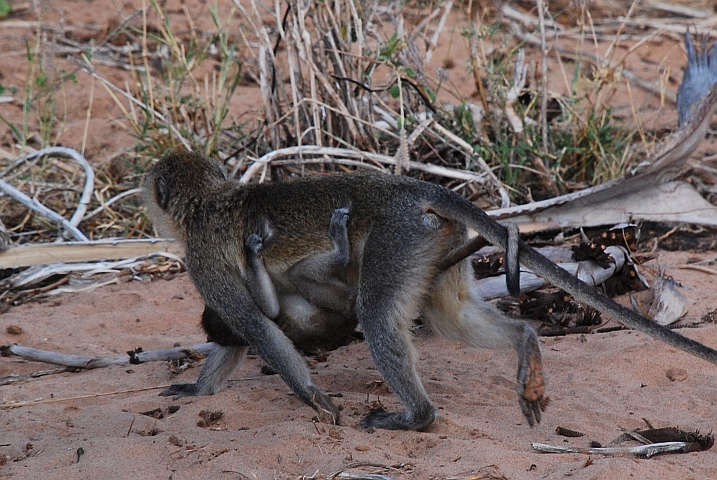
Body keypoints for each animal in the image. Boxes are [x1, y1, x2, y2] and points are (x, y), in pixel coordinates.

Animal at [143, 151, 717, 431]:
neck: (208, 203)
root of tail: (409, 186)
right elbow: (240, 329)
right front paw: (198, 391)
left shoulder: (202, 257)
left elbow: (254, 325)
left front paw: (315, 400)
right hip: (434, 239)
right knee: (450, 316)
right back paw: (526, 346)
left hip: (398, 237)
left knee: (377, 315)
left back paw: (417, 417)